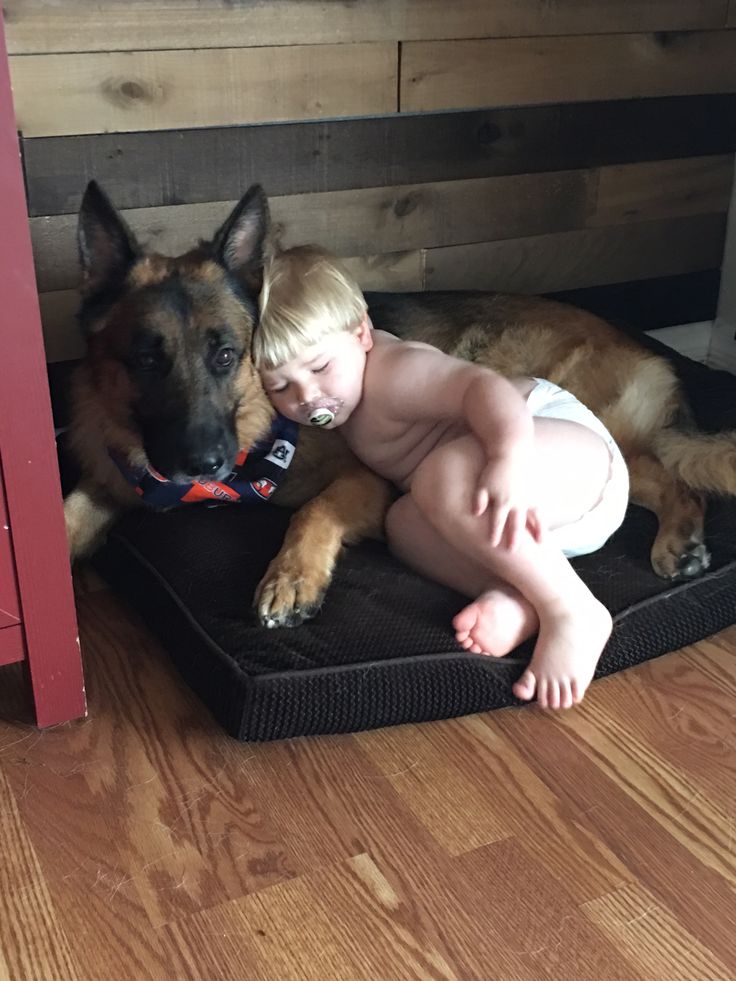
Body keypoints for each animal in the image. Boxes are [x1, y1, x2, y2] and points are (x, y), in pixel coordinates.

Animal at [64, 183, 736, 624]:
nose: (202, 464)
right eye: (145, 360)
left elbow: (312, 511)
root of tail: (640, 345)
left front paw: (292, 576)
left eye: (227, 355)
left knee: (675, 476)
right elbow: (67, 518)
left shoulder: (362, 480)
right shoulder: (110, 479)